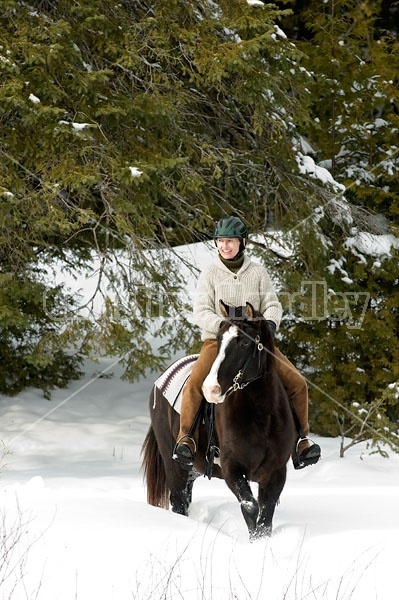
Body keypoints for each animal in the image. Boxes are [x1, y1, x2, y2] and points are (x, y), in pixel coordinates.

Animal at [143, 300, 296, 540]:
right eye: (218, 339)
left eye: (245, 342)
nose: (211, 389)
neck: (261, 415)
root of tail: (161, 381)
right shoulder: (232, 469)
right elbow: (250, 507)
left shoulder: (276, 472)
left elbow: (266, 515)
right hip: (174, 465)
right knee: (179, 502)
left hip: (192, 470)